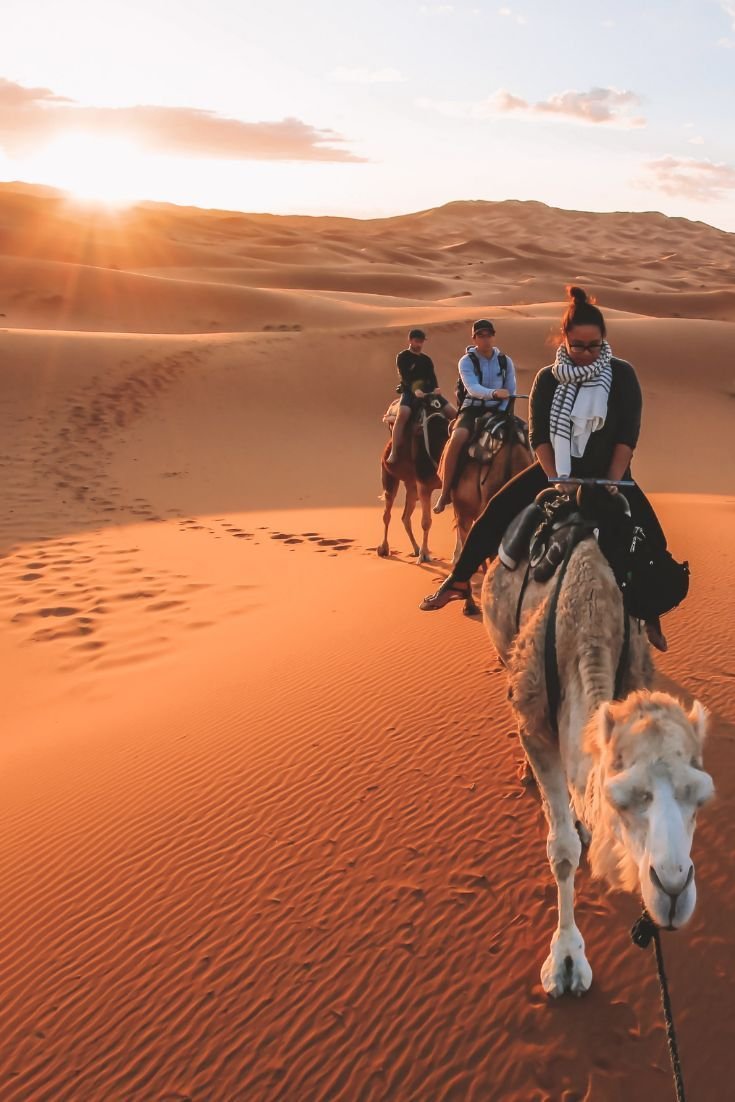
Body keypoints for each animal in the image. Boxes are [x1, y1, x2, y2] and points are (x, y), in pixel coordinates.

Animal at [378, 396, 449, 563]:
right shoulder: (424, 485)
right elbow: (426, 522)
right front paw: (424, 555)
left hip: (411, 485)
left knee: (405, 516)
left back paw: (416, 549)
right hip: (389, 475)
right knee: (387, 513)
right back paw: (384, 548)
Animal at [481, 510, 714, 997]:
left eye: (701, 799)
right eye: (621, 799)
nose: (673, 890)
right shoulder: (536, 727)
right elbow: (562, 850)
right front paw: (566, 960)